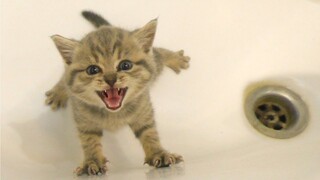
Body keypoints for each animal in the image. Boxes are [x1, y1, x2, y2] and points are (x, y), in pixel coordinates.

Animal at [45, 10, 190, 175]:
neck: (113, 114)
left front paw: (158, 153)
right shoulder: (84, 119)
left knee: (158, 53)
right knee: (64, 75)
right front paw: (92, 161)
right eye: (93, 69)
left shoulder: (143, 110)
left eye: (125, 65)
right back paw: (59, 92)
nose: (110, 79)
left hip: (155, 65)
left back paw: (175, 58)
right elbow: (89, 141)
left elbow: (149, 132)